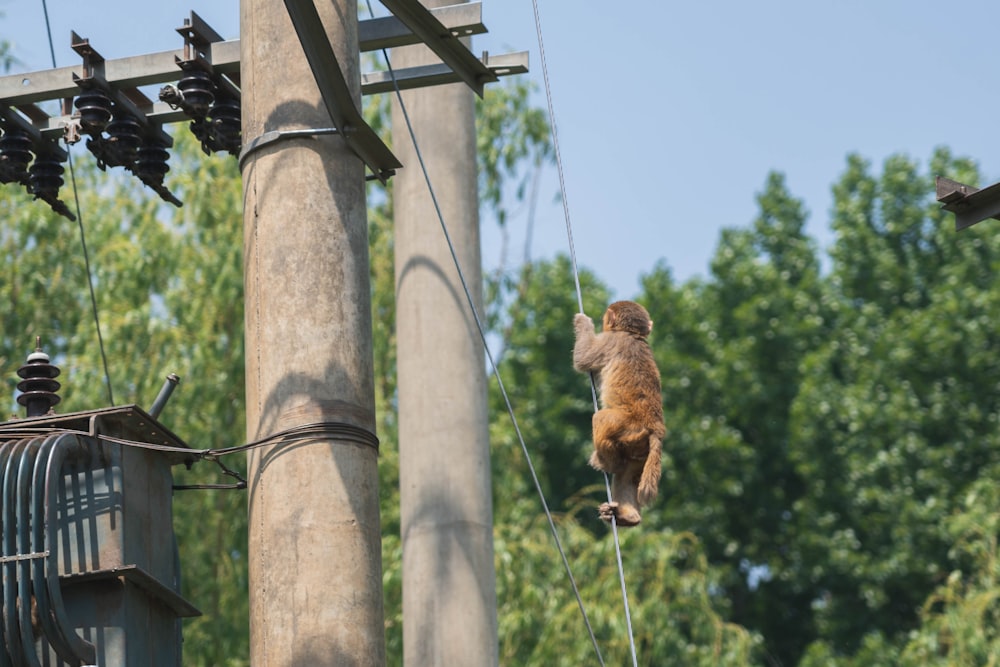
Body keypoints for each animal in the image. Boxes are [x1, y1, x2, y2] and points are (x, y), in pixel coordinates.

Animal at [572, 302, 664, 528]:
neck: (631, 334)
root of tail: (655, 430)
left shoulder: (609, 341)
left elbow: (583, 358)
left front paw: (583, 322)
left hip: (628, 427)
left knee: (600, 419)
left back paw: (606, 463)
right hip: (640, 449)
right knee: (627, 474)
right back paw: (628, 517)